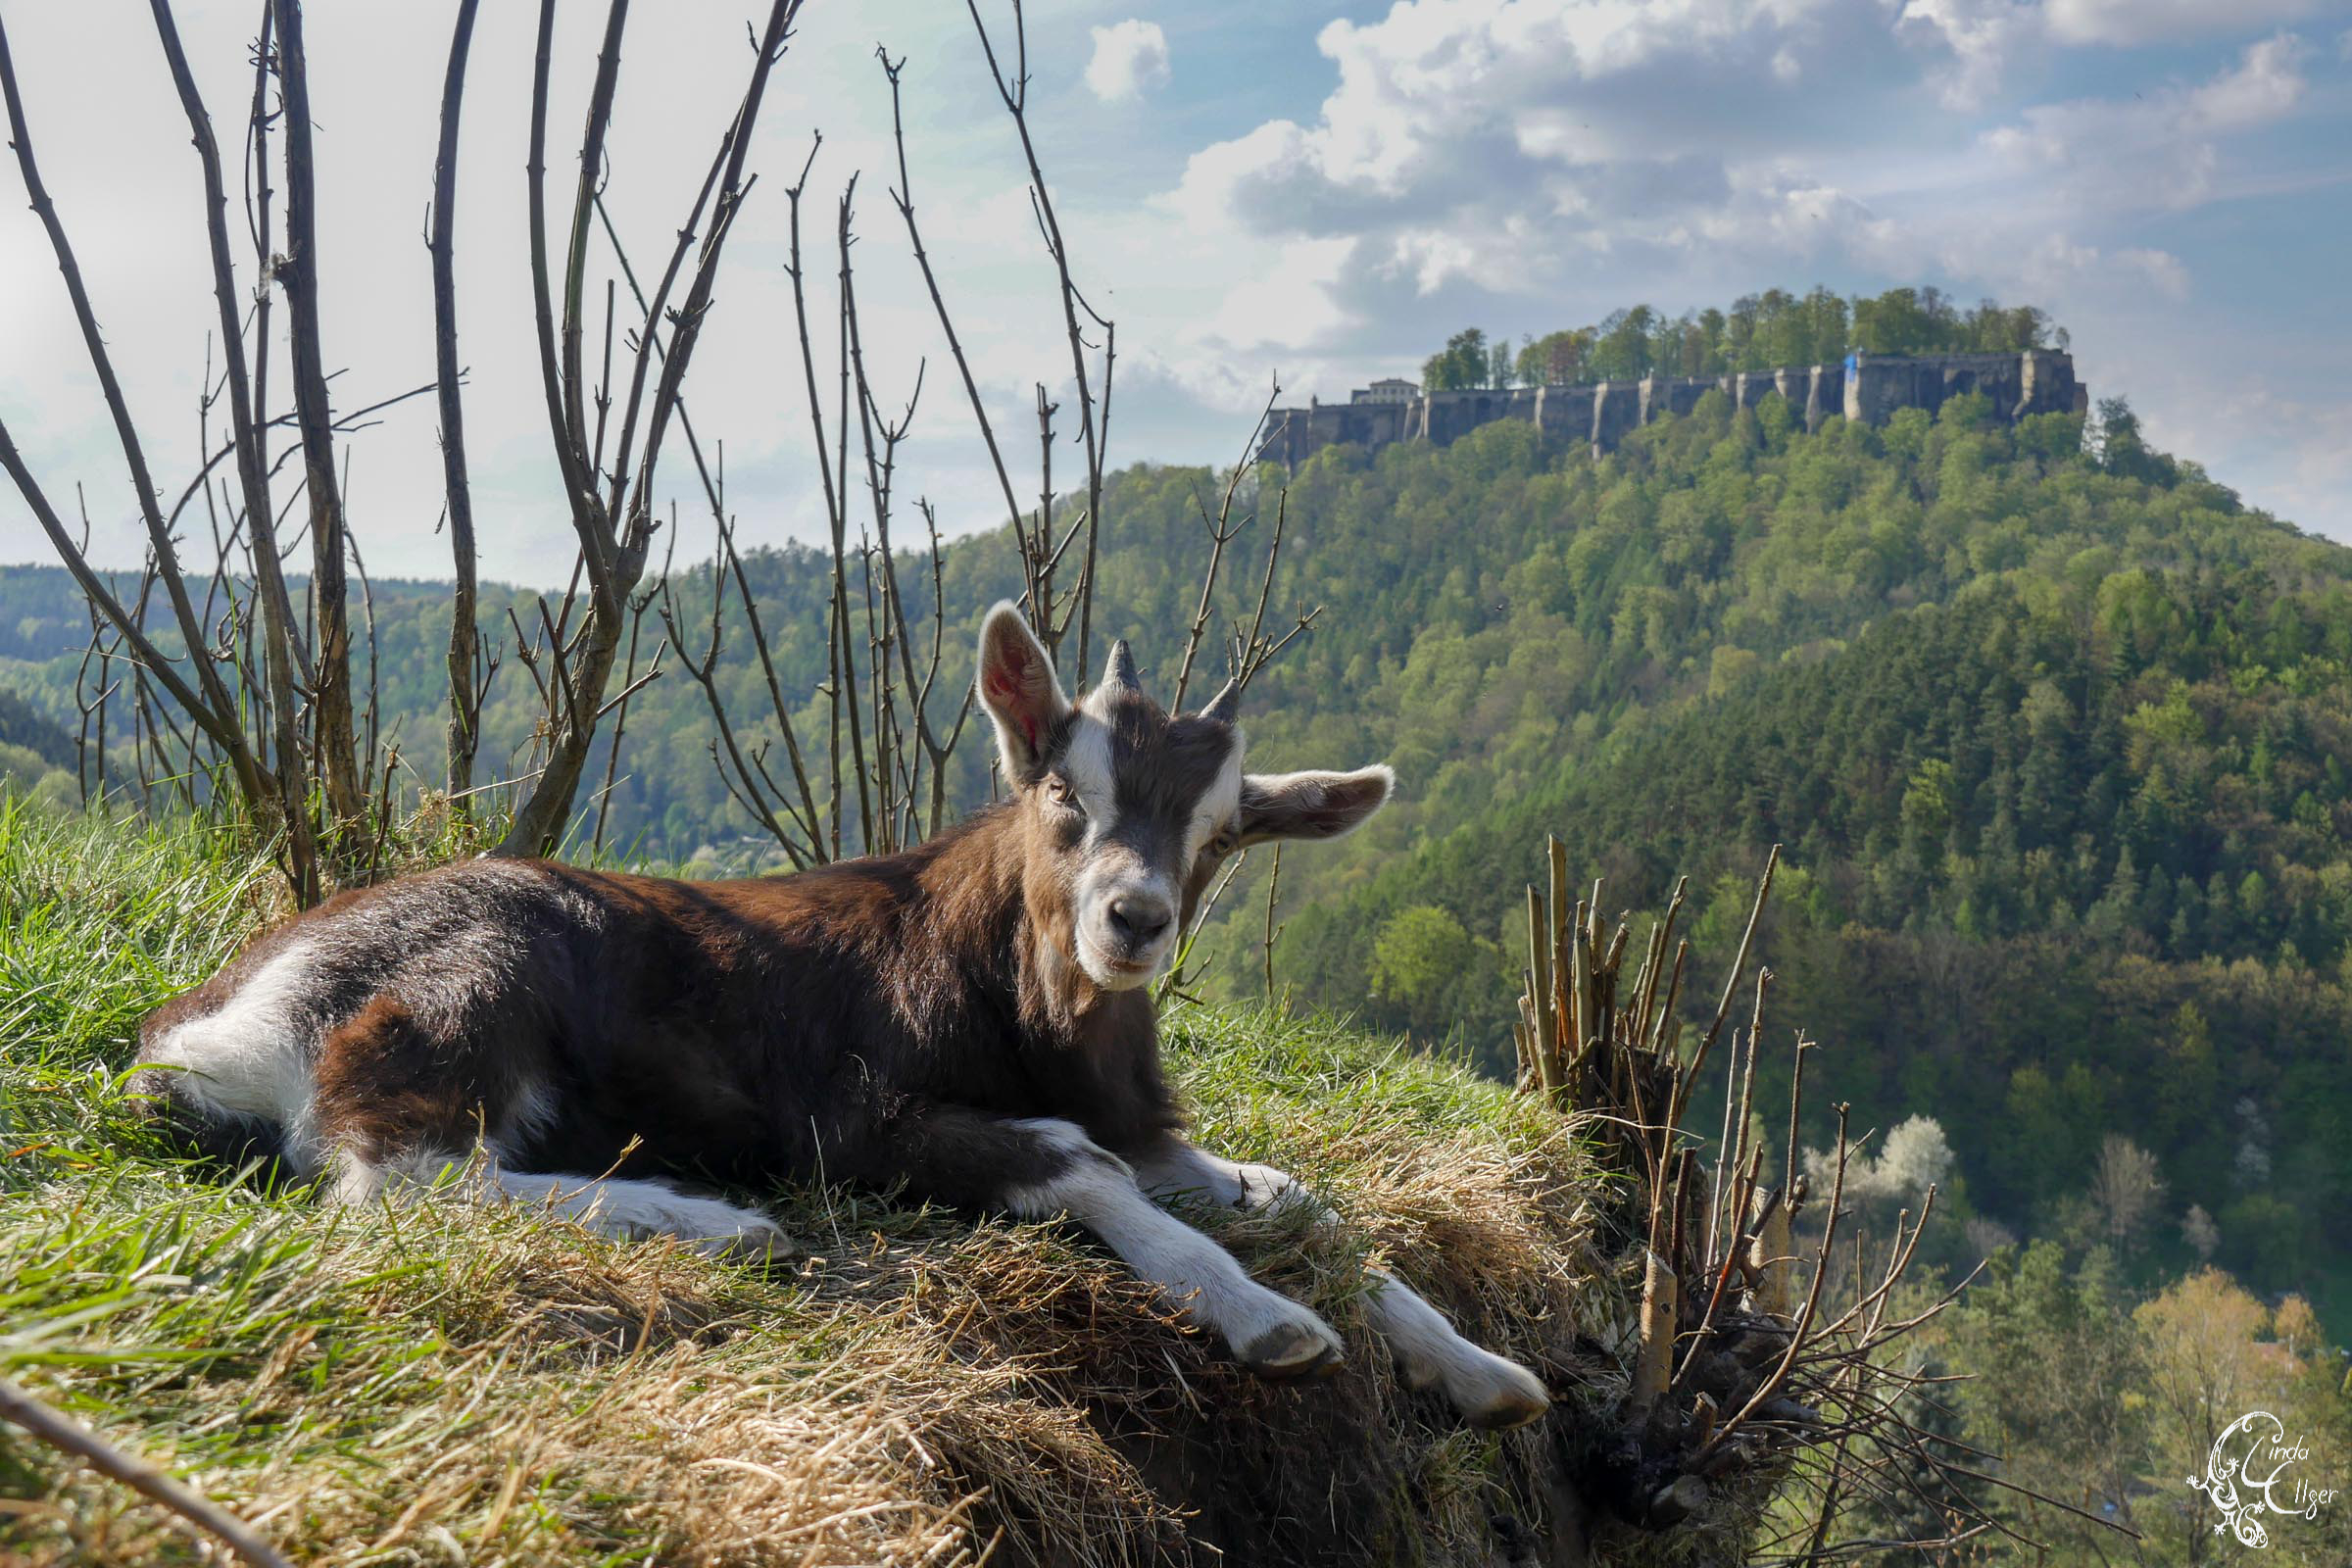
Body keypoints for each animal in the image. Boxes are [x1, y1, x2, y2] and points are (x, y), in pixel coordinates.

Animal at [137, 606, 1552, 1439]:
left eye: (1218, 838)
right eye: (1063, 792)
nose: (1133, 921)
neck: (1012, 1000)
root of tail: (213, 1023)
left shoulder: (1149, 1126)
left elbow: (1298, 1197)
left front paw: (1475, 1368)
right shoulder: (851, 1115)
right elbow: (1075, 1163)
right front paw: (1268, 1320)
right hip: (476, 977)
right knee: (394, 1170)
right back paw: (707, 1223)